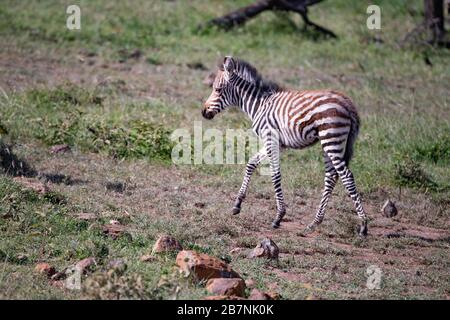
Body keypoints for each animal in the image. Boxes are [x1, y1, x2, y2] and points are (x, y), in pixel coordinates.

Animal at [202, 56, 368, 236]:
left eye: (218, 89)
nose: (203, 112)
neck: (259, 105)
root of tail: (347, 102)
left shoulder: (270, 139)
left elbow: (275, 175)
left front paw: (279, 216)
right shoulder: (276, 143)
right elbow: (251, 163)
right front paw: (237, 204)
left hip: (331, 138)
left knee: (347, 176)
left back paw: (363, 225)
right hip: (330, 142)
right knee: (331, 176)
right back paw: (315, 223)